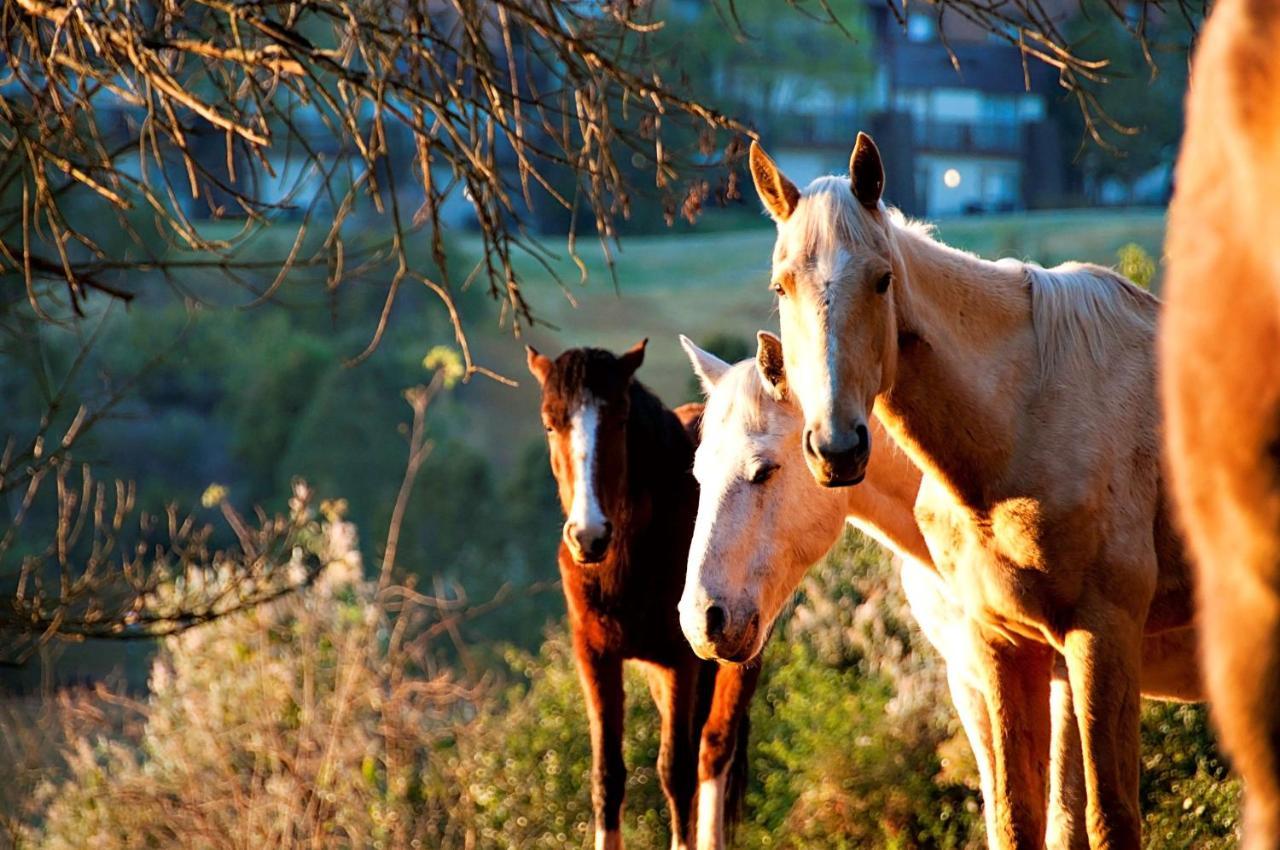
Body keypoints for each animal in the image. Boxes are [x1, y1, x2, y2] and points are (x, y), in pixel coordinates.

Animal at [527, 343, 757, 850]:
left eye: (619, 419)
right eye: (550, 424)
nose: (588, 536)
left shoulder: (681, 661)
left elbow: (677, 772)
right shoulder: (596, 658)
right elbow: (607, 776)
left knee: (714, 749)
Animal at [680, 335, 1198, 844]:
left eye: (764, 470)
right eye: (698, 474)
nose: (703, 620)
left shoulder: (1068, 678)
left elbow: (1064, 824)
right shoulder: (974, 683)